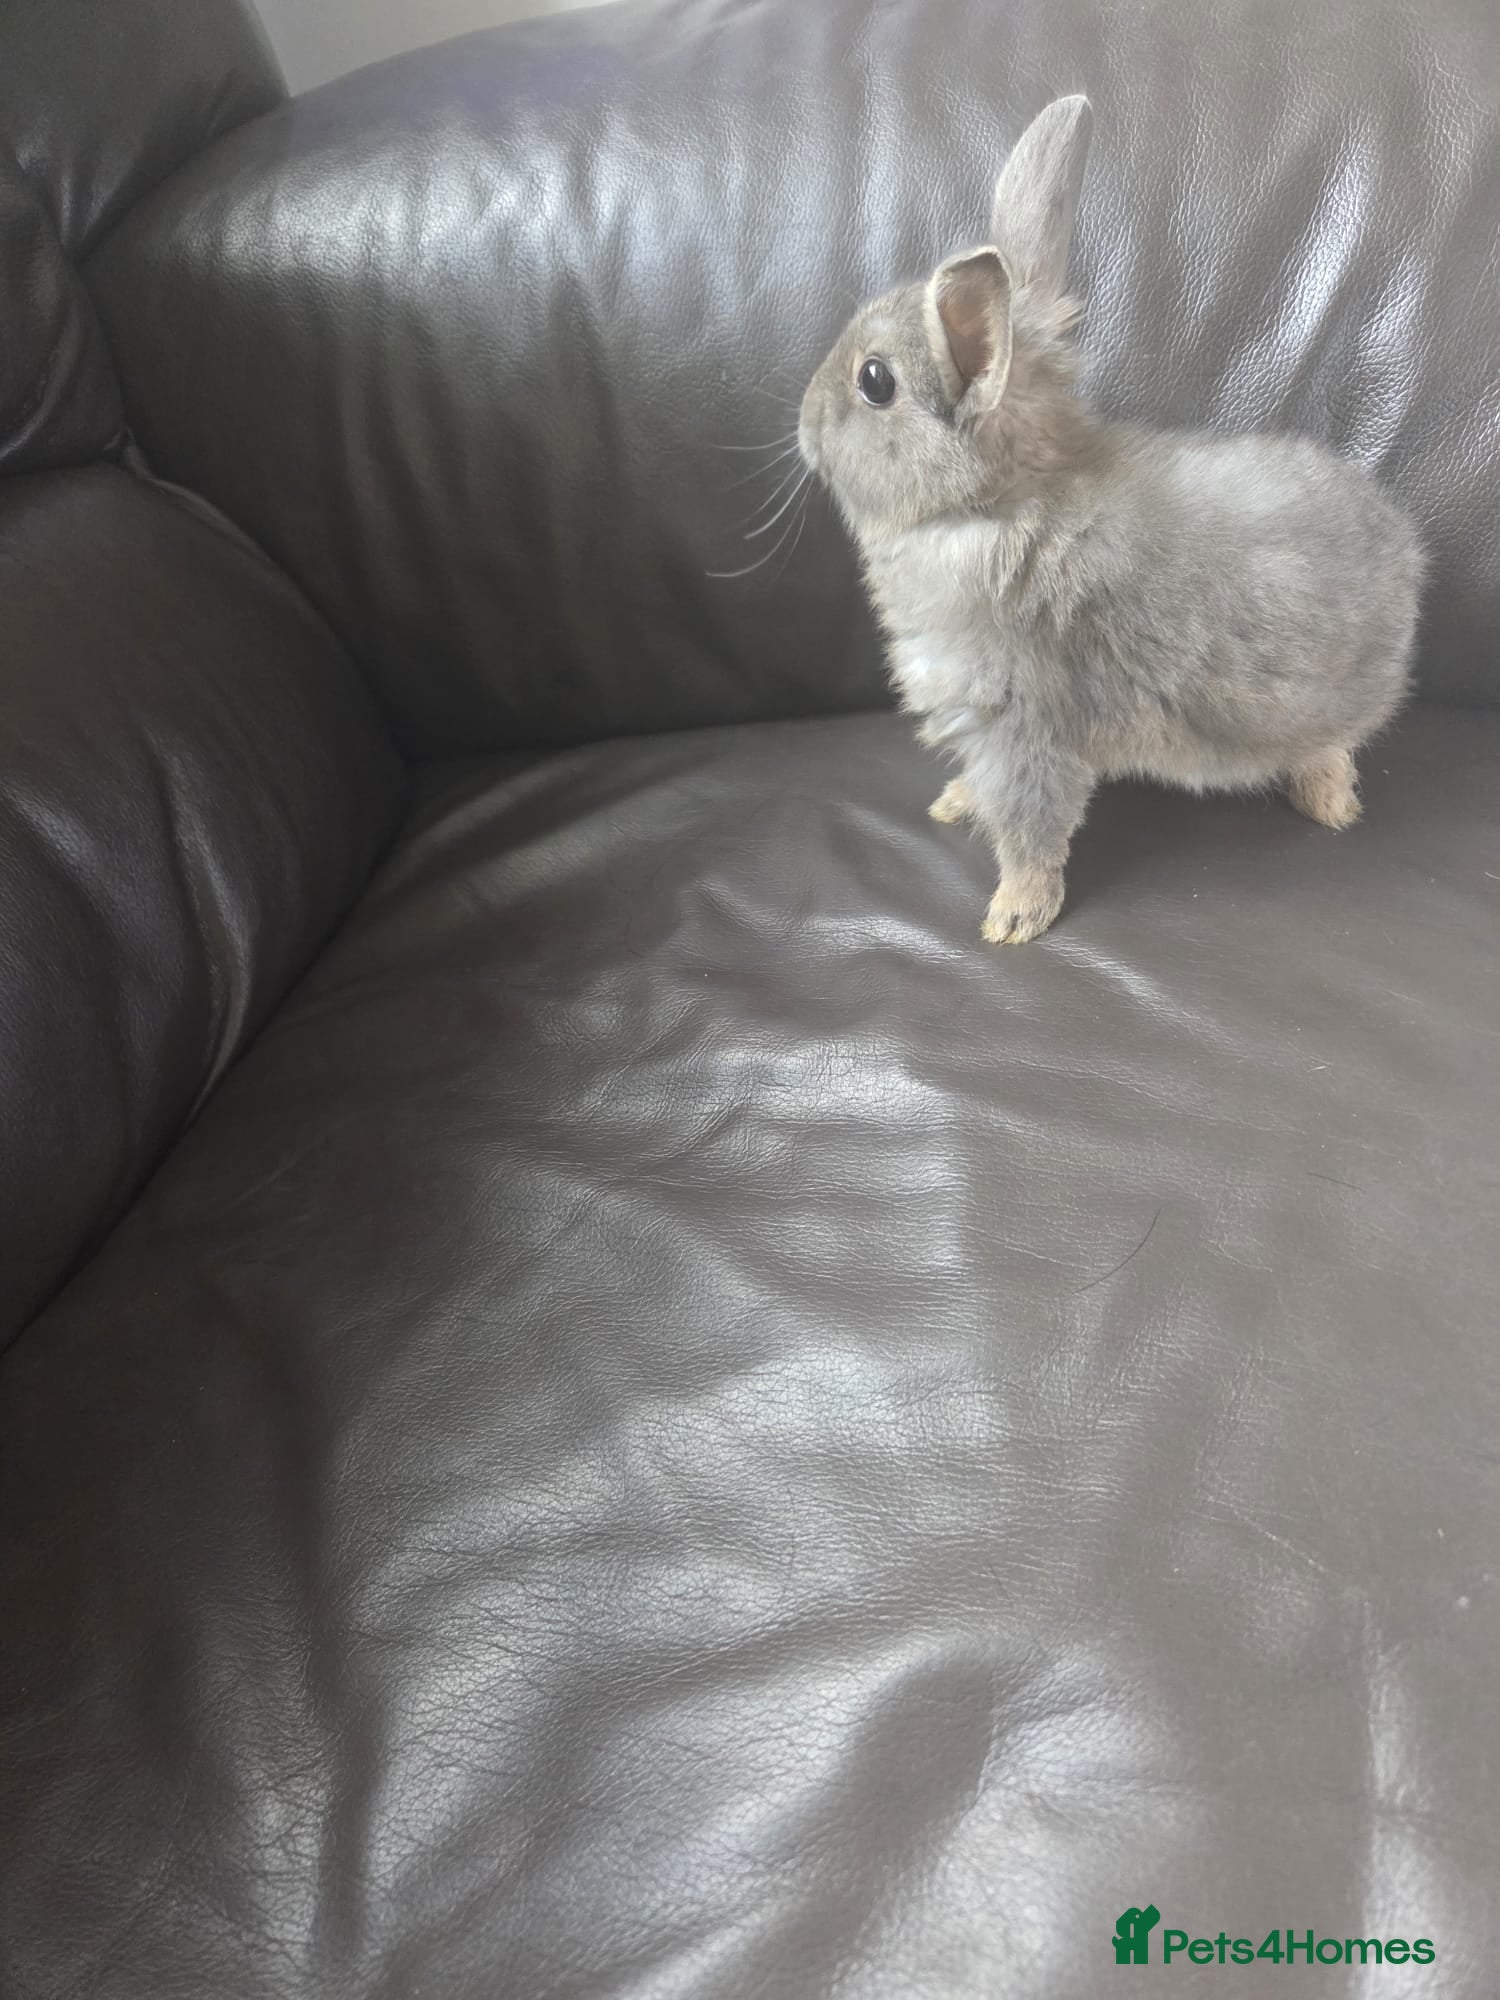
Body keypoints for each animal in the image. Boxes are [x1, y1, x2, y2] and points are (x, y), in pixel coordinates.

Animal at [797, 96, 1425, 943]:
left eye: (874, 381)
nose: (802, 421)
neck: (996, 504)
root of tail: (1405, 546)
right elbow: (986, 791)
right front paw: (955, 806)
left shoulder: (1024, 732)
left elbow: (1031, 832)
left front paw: (1013, 919)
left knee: (1335, 749)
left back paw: (1330, 806)